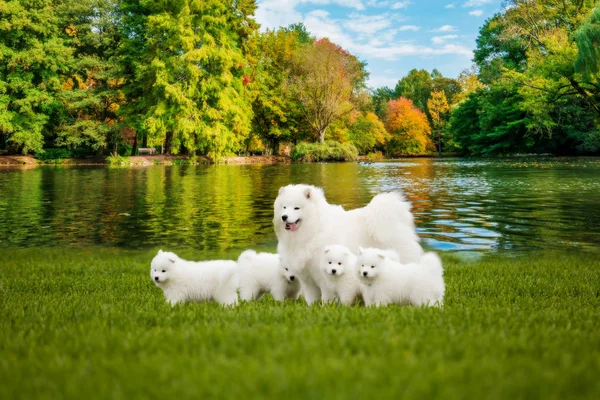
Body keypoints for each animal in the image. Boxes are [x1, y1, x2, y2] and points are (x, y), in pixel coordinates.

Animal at [274, 185, 422, 306]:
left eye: (297, 207)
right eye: (284, 207)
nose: (284, 217)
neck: (313, 229)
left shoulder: (324, 276)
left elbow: (326, 297)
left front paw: (325, 307)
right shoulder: (307, 277)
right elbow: (311, 298)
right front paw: (311, 308)